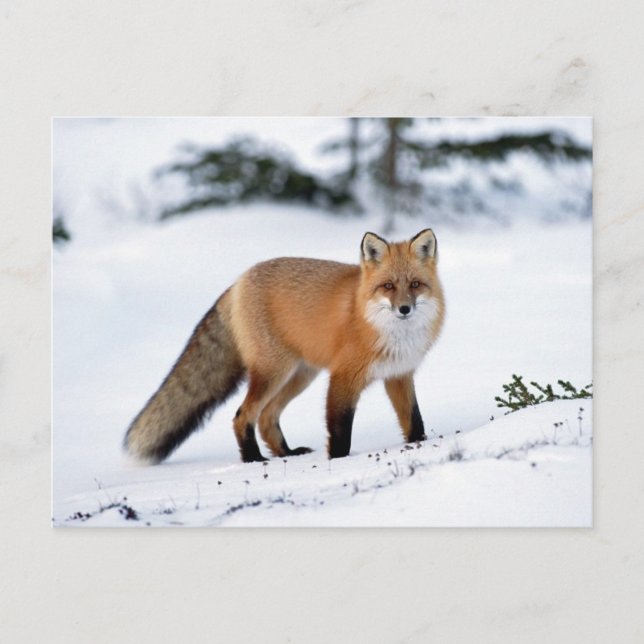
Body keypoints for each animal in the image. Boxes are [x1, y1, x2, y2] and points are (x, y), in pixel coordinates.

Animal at [124, 228, 445, 464]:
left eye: (415, 285)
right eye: (388, 286)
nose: (404, 309)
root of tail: (238, 282)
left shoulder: (398, 375)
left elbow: (414, 421)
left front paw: (419, 445)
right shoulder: (343, 378)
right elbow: (339, 430)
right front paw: (339, 462)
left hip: (300, 375)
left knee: (267, 417)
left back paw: (286, 453)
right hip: (273, 372)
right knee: (243, 416)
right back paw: (253, 459)